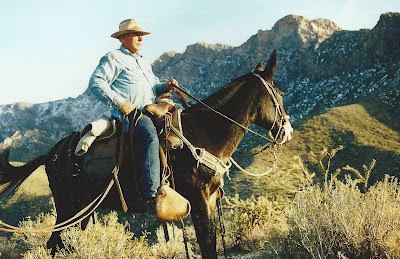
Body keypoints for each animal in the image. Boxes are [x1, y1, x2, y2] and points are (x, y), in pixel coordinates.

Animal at [0, 49, 294, 258]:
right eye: (279, 92)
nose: (287, 132)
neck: (205, 133)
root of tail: (53, 152)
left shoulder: (210, 200)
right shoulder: (198, 200)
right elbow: (207, 246)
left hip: (81, 212)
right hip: (68, 208)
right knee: (54, 245)